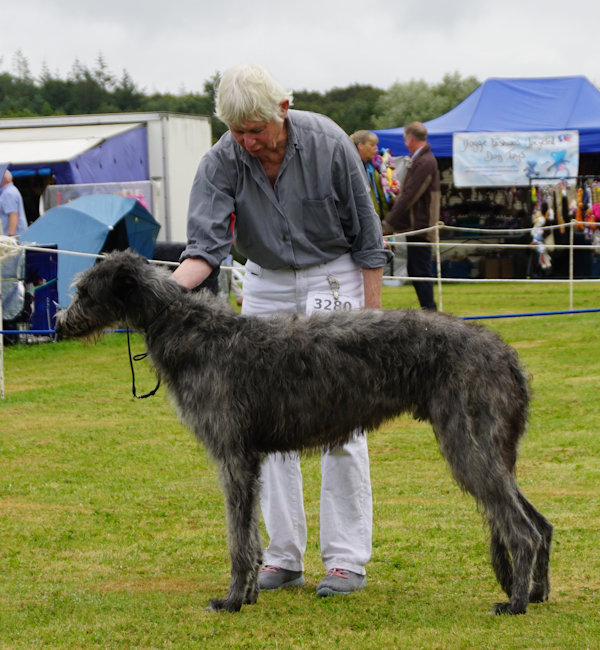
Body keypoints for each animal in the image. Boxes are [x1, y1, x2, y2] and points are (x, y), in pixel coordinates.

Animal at [56, 251, 552, 616]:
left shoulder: (232, 456)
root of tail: (506, 355)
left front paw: (232, 600)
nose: (59, 323)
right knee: (540, 523)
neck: (188, 328)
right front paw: (251, 593)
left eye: (84, 290)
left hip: (467, 445)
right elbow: (251, 536)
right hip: (492, 448)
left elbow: (237, 539)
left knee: (522, 530)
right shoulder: (249, 460)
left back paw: (515, 603)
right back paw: (538, 592)